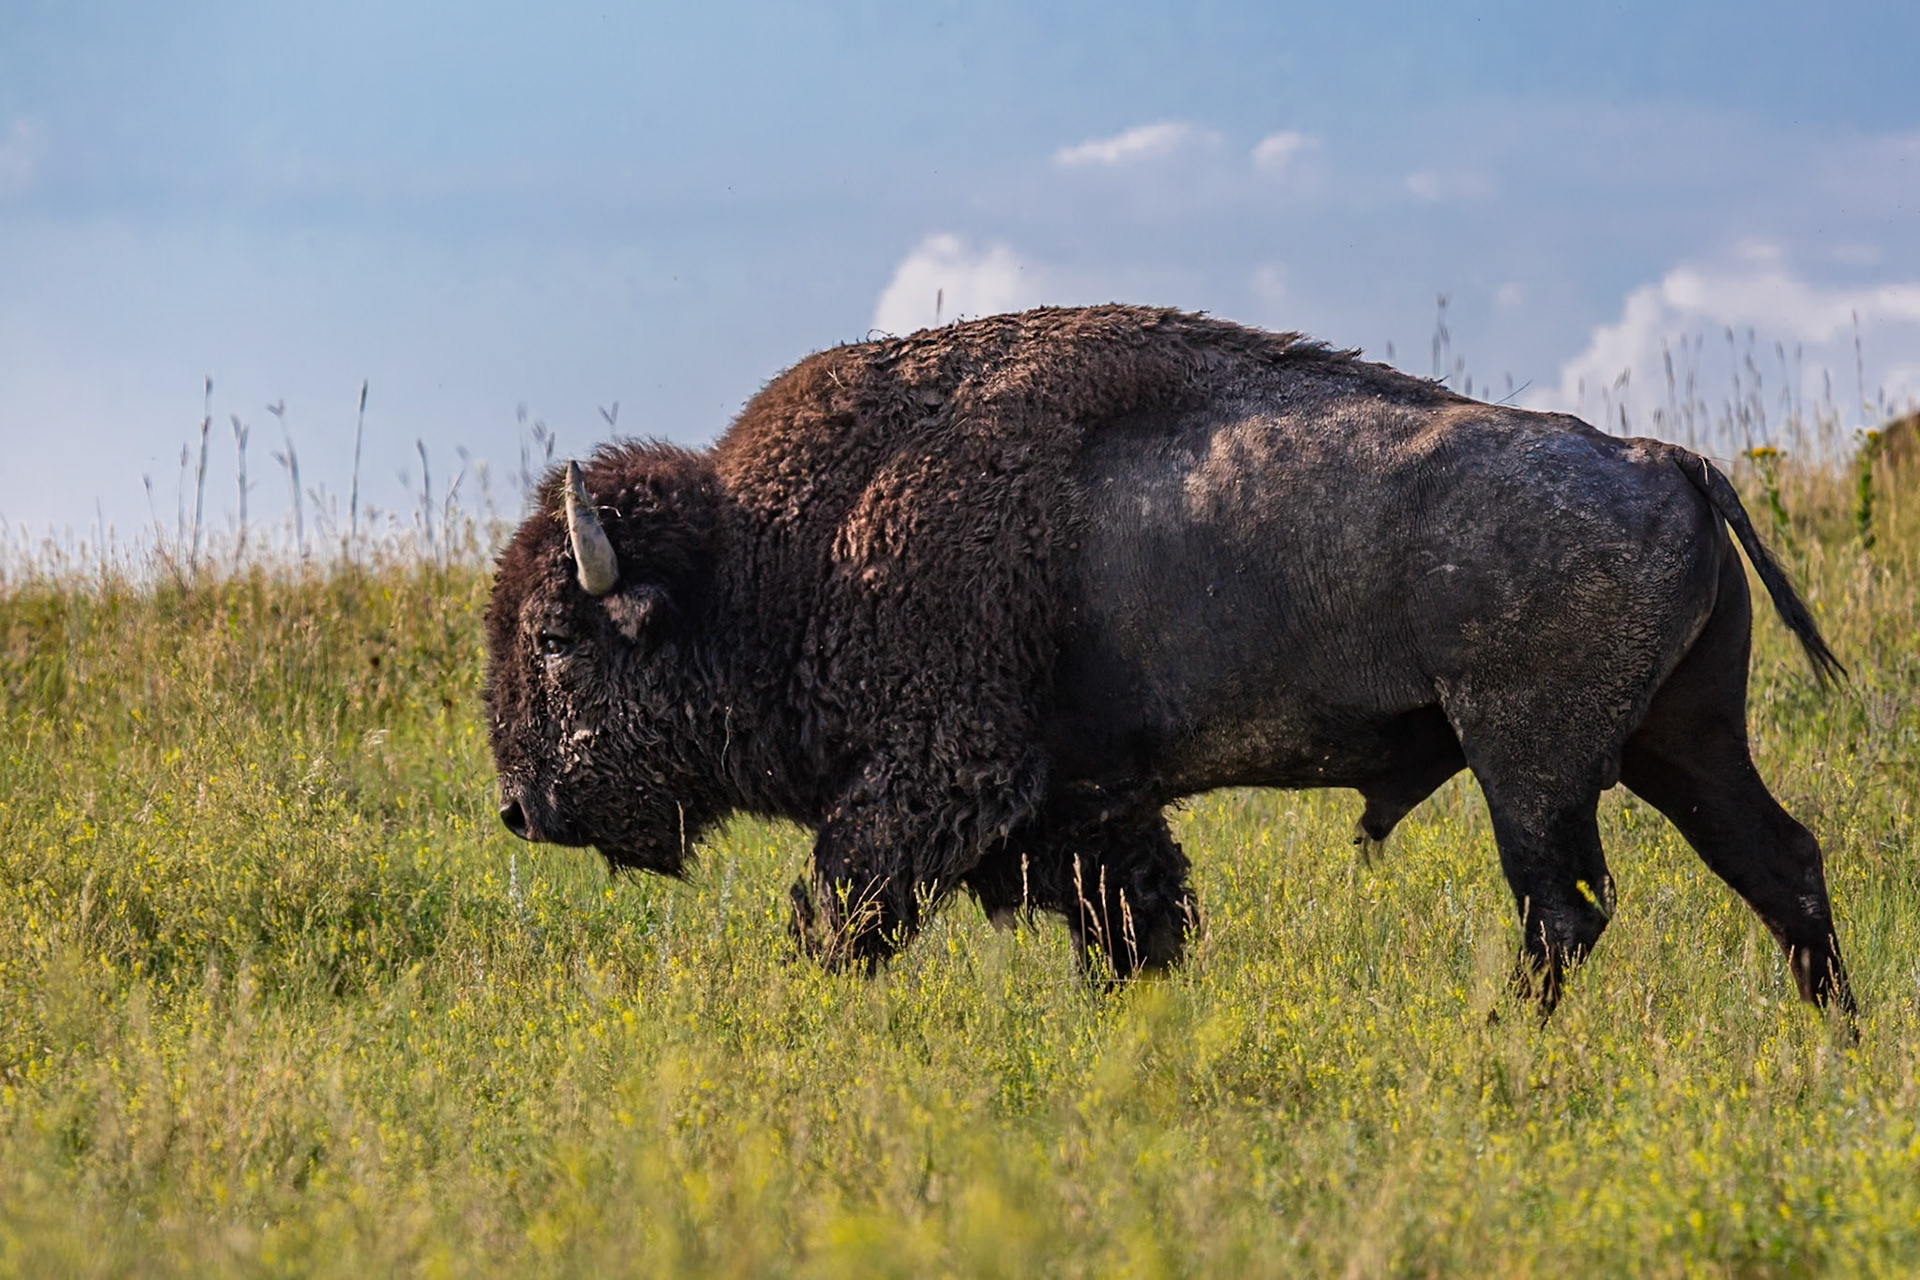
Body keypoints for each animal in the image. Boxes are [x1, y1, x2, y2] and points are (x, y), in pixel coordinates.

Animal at [483, 305, 1852, 1017]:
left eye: (554, 640)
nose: (516, 806)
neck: (784, 552)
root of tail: (1665, 458)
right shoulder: (1090, 803)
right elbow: (1137, 920)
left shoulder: (936, 785)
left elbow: (839, 912)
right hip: (1680, 741)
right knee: (1777, 861)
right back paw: (1830, 1036)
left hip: (1534, 758)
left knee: (1563, 909)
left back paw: (1499, 1041)